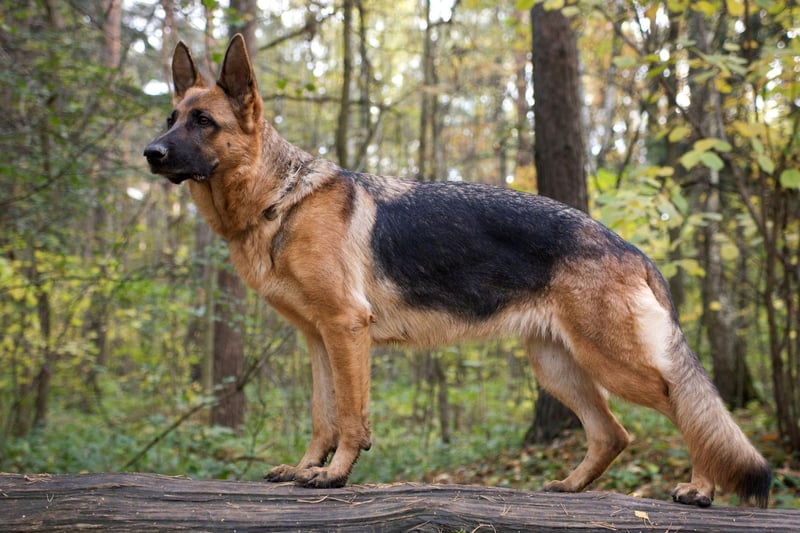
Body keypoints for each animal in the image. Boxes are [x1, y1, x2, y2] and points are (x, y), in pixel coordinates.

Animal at [144, 34, 768, 508]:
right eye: (172, 118)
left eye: (204, 121)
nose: (151, 153)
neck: (280, 198)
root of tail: (631, 247)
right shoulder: (319, 340)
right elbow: (323, 414)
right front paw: (305, 468)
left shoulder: (346, 330)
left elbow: (350, 416)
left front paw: (336, 474)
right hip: (557, 368)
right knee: (612, 432)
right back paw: (571, 486)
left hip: (614, 363)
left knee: (684, 406)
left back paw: (700, 487)